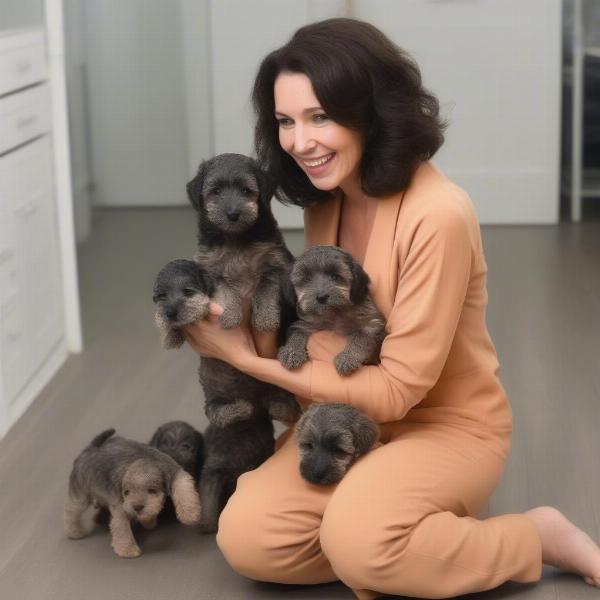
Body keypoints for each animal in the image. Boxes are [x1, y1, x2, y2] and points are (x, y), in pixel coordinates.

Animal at [64, 428, 203, 556]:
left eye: (152, 490)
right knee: (70, 512)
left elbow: (184, 489)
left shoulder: (176, 473)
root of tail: (89, 449)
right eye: (126, 492)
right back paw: (75, 532)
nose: (137, 507)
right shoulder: (120, 507)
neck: (142, 460)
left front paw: (190, 514)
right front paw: (127, 550)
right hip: (80, 496)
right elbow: (121, 528)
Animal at [278, 244, 386, 376]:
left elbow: (361, 336)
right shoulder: (305, 323)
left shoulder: (372, 323)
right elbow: (298, 332)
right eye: (306, 279)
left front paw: (348, 357)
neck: (333, 315)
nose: (321, 297)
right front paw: (291, 351)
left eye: (335, 276)